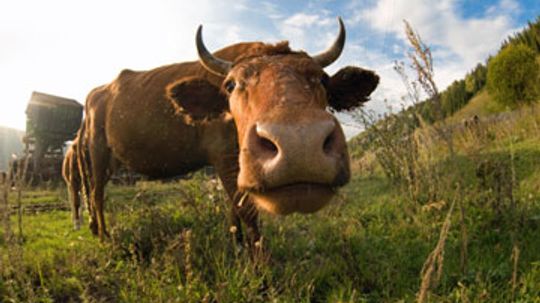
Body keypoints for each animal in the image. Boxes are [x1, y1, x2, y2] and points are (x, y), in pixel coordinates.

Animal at [78, 17, 380, 253]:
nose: (299, 143)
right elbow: (247, 211)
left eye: (321, 79)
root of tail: (98, 92)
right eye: (232, 85)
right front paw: (260, 269)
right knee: (95, 193)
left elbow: (234, 207)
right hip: (97, 151)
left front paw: (236, 246)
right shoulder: (224, 156)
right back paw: (103, 237)